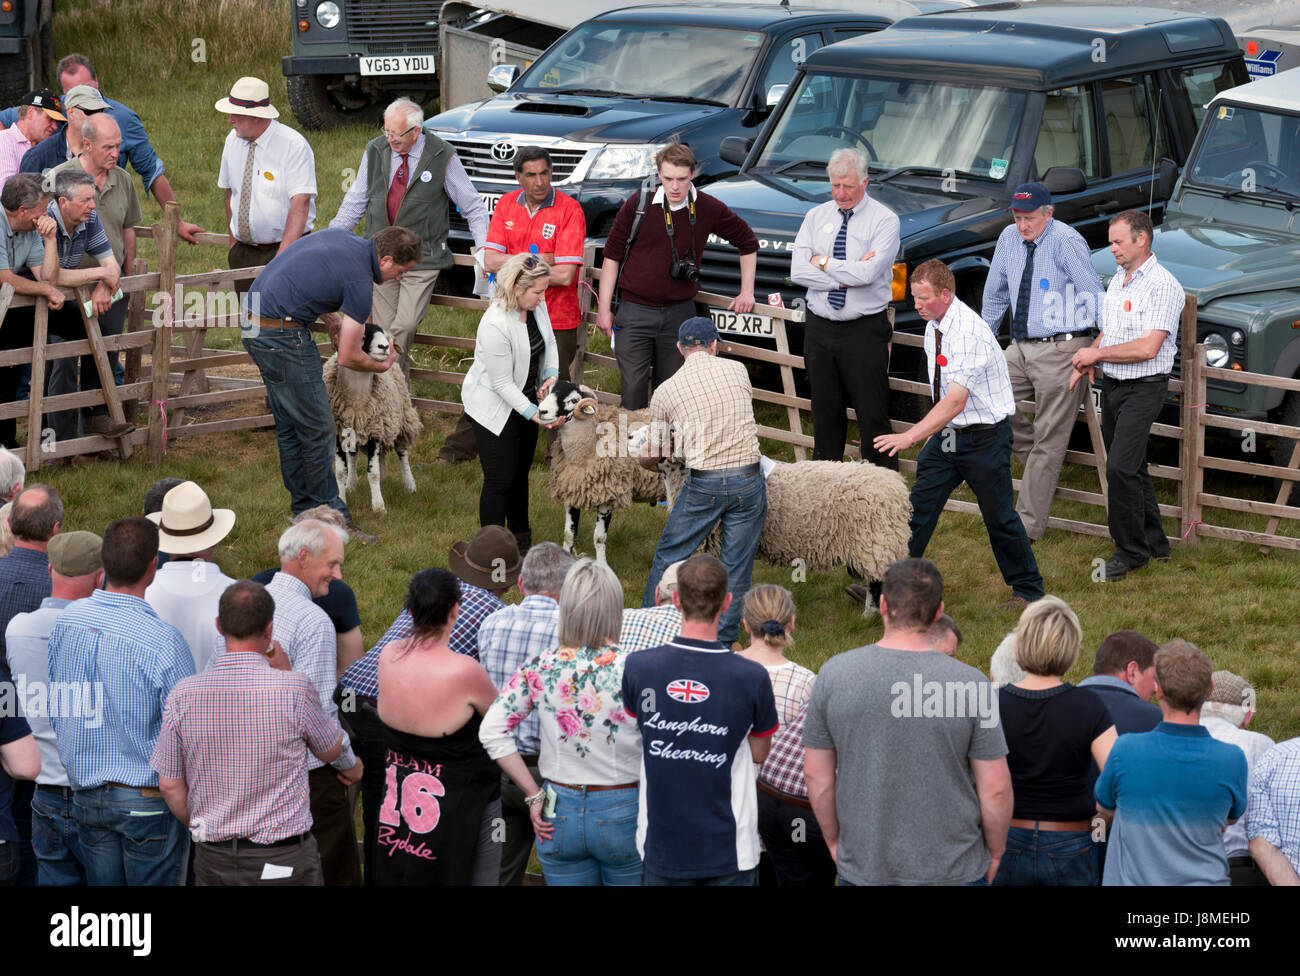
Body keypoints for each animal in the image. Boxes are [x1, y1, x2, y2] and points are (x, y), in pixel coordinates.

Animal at [322, 324, 423, 514]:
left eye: (384, 334)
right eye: (361, 335)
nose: (385, 347)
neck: (356, 399)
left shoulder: (376, 431)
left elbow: (374, 473)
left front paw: (378, 506)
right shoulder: (338, 433)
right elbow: (340, 472)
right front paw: (342, 499)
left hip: (401, 418)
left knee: (403, 452)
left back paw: (410, 484)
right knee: (353, 456)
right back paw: (352, 483)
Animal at [533, 382, 665, 564]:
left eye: (573, 400)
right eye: (549, 391)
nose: (542, 411)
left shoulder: (607, 496)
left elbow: (599, 538)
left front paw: (602, 565)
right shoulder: (571, 492)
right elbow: (569, 535)